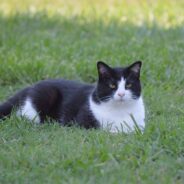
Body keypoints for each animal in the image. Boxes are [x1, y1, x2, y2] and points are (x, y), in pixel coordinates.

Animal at [0, 61, 146, 133]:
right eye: (112, 85)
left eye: (128, 85)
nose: (121, 94)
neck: (120, 111)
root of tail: (30, 86)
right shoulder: (82, 123)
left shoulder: (140, 125)